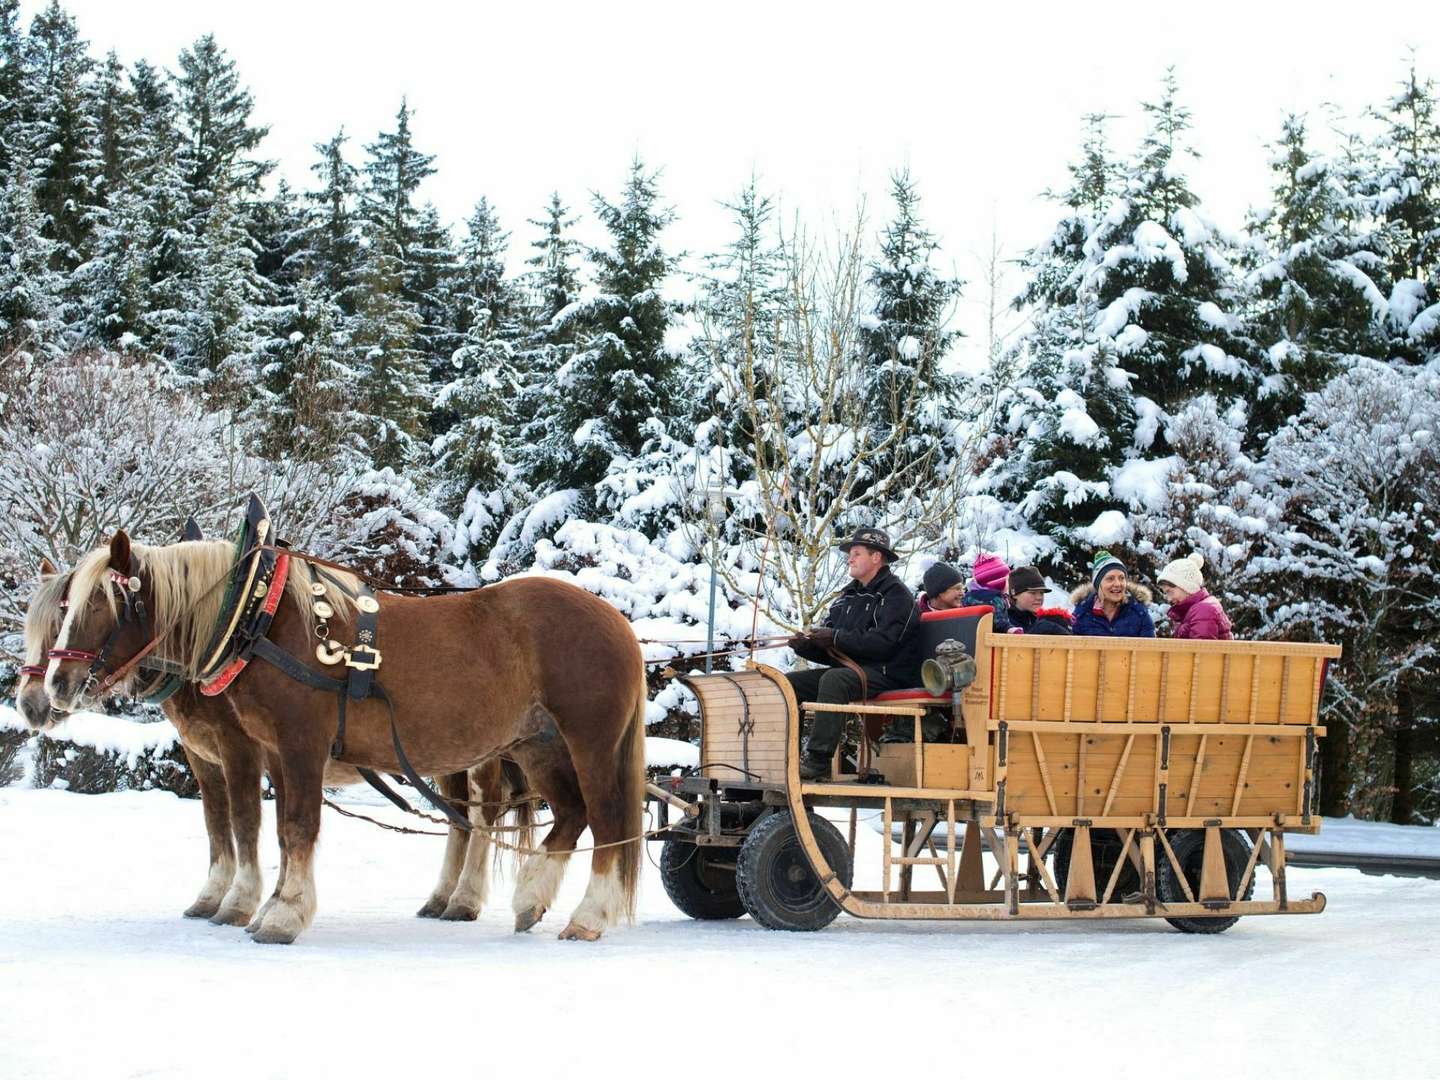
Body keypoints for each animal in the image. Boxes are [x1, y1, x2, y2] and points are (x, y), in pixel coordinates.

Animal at [49, 538, 648, 944]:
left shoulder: (298, 746)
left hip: (588, 742)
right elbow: (282, 831)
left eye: (100, 604)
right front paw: (271, 906)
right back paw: (529, 896)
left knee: (605, 818)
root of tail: (616, 619)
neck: (259, 618)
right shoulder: (274, 754)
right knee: (570, 813)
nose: (56, 684)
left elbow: (295, 827)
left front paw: (282, 915)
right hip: (534, 744)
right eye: (64, 607)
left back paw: (587, 916)